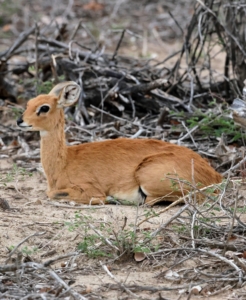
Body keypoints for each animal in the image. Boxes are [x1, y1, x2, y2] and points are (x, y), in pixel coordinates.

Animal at [16, 81, 222, 205]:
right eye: (29, 103)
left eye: (44, 108)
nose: (20, 121)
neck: (63, 162)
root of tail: (215, 176)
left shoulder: (89, 189)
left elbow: (55, 194)